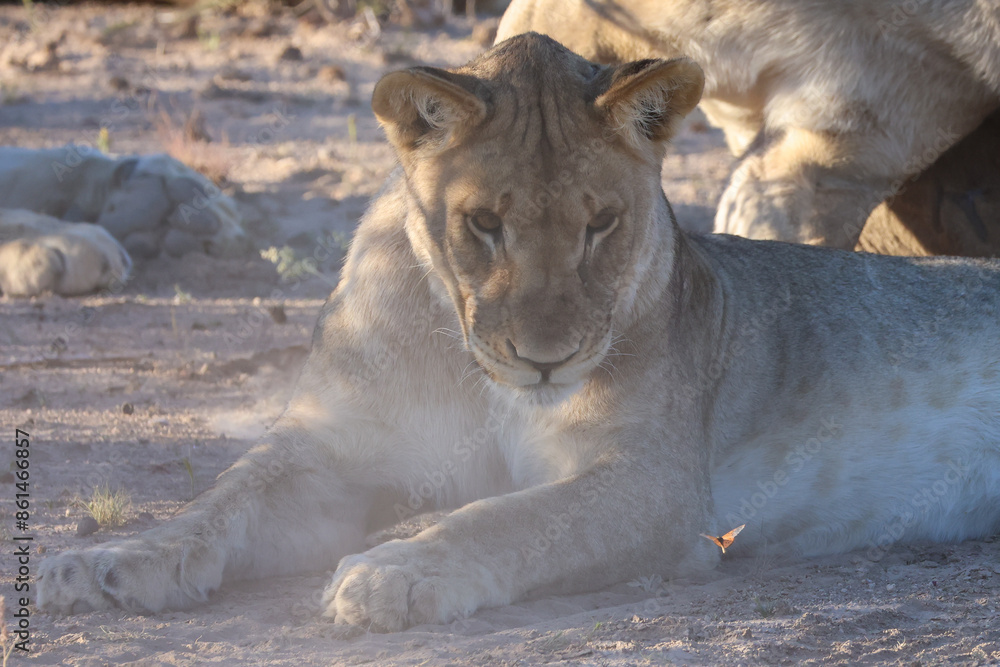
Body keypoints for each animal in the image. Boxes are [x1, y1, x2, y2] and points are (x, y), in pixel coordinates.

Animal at [37, 35, 1000, 631]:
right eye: (484, 224)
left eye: (601, 224)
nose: (547, 361)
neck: (478, 374)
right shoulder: (332, 446)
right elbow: (219, 500)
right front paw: (101, 560)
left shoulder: (658, 484)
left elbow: (512, 517)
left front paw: (399, 571)